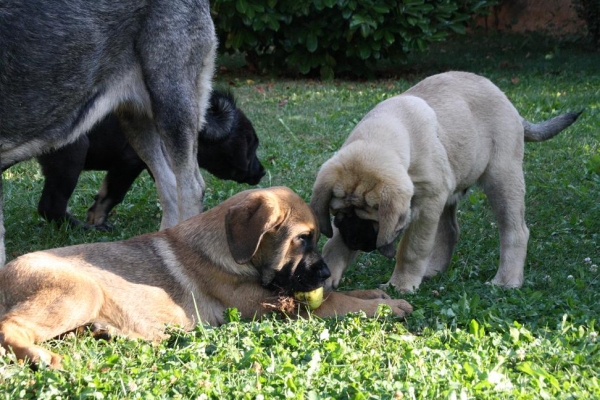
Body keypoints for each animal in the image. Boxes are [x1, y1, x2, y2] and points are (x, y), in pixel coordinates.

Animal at [0, 187, 410, 368]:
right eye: (302, 238)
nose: (325, 272)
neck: (230, 251)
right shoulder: (281, 306)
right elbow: (338, 300)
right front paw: (393, 307)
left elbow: (344, 294)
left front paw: (377, 295)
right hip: (81, 292)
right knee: (10, 327)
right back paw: (39, 356)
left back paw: (103, 333)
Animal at [312, 71, 580, 290]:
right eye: (339, 215)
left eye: (373, 220)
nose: (354, 240)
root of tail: (507, 101)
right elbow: (333, 243)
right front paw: (330, 269)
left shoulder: (426, 204)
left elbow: (412, 248)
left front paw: (401, 284)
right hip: (449, 191)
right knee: (450, 230)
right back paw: (432, 271)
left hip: (502, 178)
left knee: (515, 230)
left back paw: (506, 281)